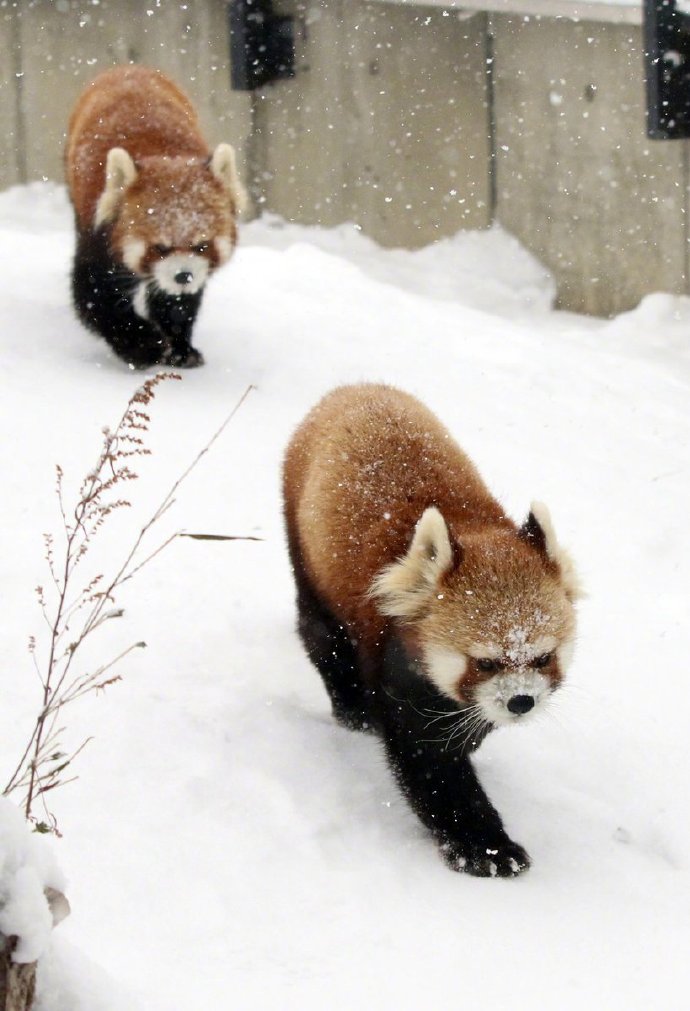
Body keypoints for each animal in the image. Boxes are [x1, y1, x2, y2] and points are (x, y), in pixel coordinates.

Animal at [65, 65, 246, 370]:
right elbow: (95, 297)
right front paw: (144, 346)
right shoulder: (96, 232)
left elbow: (175, 303)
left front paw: (181, 349)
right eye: (159, 247)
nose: (183, 275)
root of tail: (128, 68)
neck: (162, 155)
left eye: (202, 245)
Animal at [281, 386, 578, 877]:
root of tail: (353, 388)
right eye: (484, 662)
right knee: (321, 635)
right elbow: (429, 761)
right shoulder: (395, 656)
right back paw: (352, 708)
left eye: (542, 658)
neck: (472, 527)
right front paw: (486, 848)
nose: (521, 701)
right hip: (304, 540)